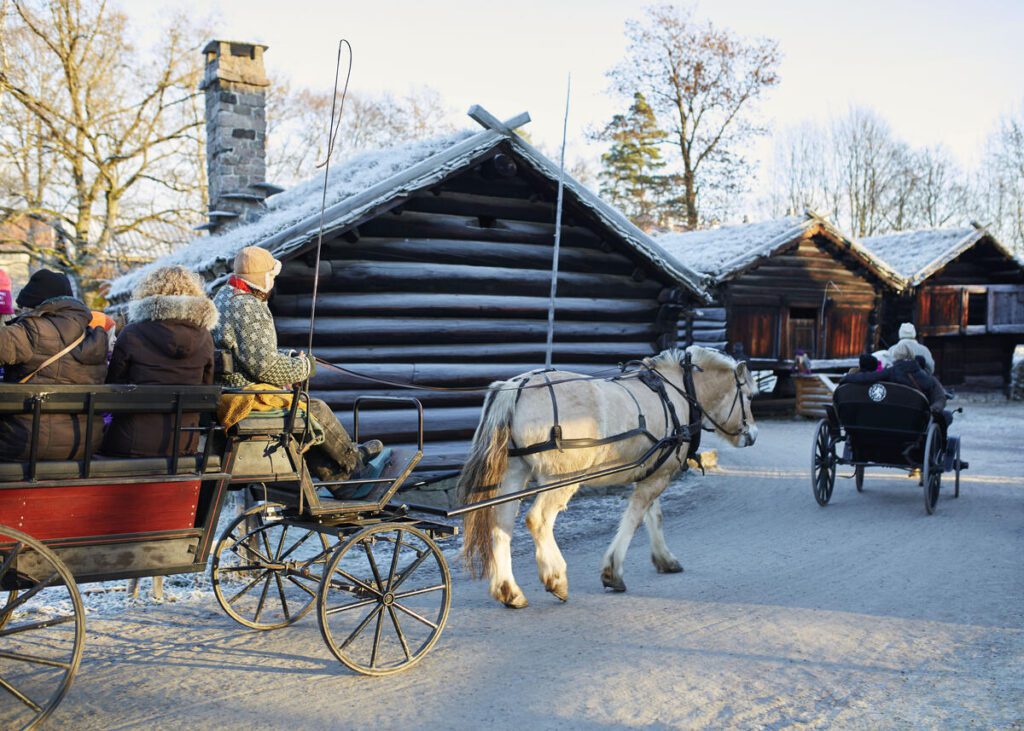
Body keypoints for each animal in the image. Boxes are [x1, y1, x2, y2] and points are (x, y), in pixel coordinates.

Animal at [456, 344, 761, 606]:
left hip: (515, 473)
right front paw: (613, 572)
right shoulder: (659, 477)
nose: (753, 435)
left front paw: (665, 559)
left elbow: (654, 516)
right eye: (748, 397)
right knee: (538, 520)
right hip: (560, 479)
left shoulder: (653, 471)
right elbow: (634, 519)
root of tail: (516, 387)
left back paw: (508, 590)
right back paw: (555, 577)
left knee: (501, 522)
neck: (677, 394)